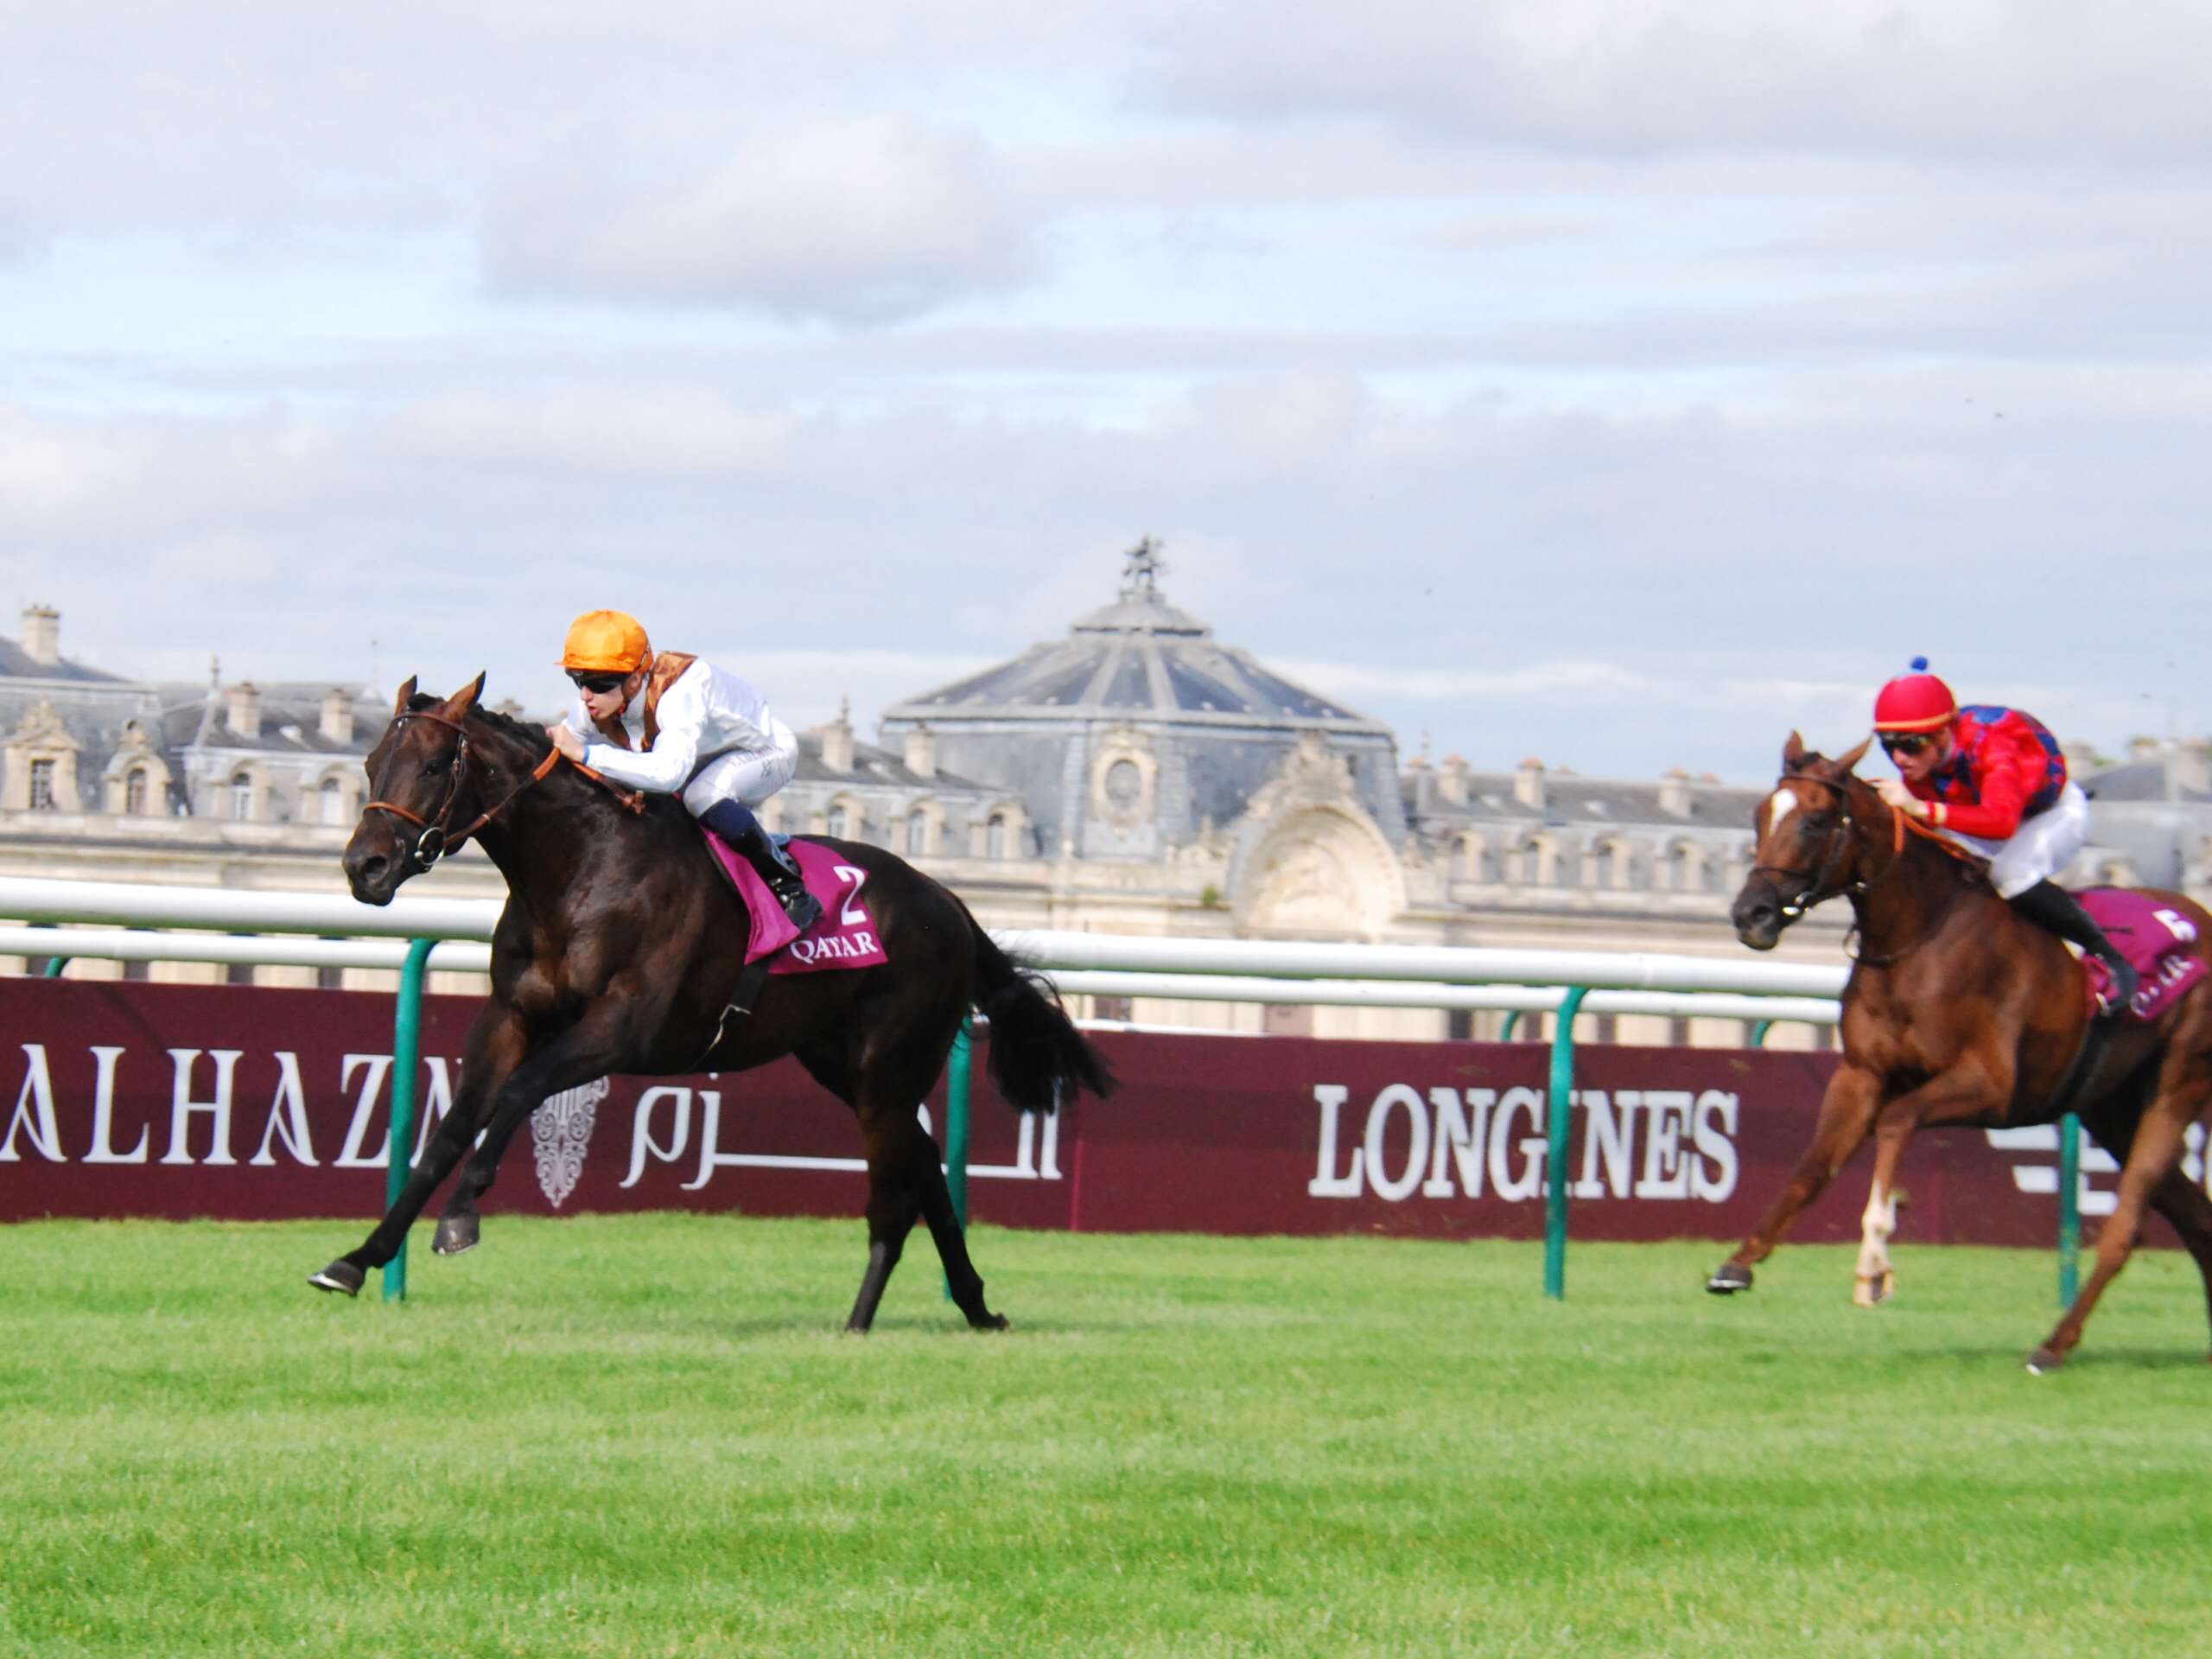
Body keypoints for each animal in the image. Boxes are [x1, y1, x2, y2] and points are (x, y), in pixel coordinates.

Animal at [316, 668, 1106, 1336]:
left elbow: (519, 1093)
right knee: (926, 1166)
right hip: (841, 1063)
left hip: (890, 1064)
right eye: (369, 765)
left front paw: (460, 1218)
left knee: (896, 1191)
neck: (582, 870)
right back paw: (975, 1307)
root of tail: (949, 903)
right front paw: (356, 1259)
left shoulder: (624, 1028)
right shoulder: (511, 1016)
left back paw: (859, 1322)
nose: (365, 867)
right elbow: (449, 1131)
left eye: (430, 767)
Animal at [1716, 734, 2212, 1371]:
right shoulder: (1861, 1074)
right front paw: (1738, 1264)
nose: (1748, 915)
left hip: (2177, 1085)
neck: (1918, 939)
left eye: (1817, 820)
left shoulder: (1991, 1085)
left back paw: (2052, 1345)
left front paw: (1874, 1265)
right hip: (2113, 1108)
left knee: (2127, 1225)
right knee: (2194, 1218)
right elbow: (1814, 1163)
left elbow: (1897, 1121)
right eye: (1759, 816)